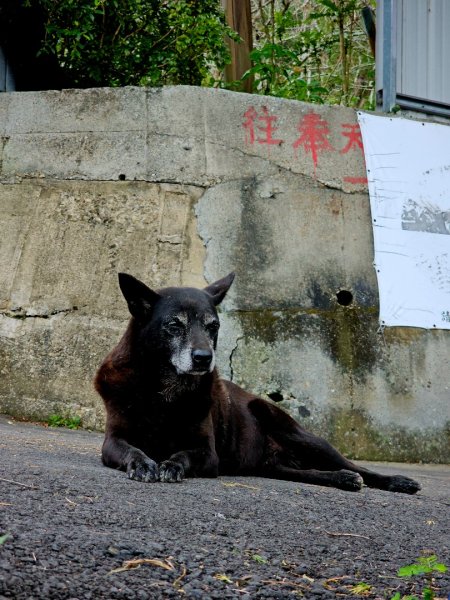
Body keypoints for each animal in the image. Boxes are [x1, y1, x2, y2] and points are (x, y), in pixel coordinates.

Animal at [95, 274, 422, 494]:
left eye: (213, 326)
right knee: (315, 472)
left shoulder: (207, 454)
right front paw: (142, 463)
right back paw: (341, 478)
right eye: (174, 325)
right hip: (279, 467)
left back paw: (395, 480)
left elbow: (184, 454)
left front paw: (172, 465)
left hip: (300, 435)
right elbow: (132, 451)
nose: (203, 358)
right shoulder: (113, 441)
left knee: (356, 466)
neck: (165, 390)